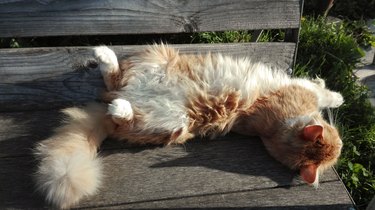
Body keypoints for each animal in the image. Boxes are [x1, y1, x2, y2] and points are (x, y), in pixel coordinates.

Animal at [33, 44, 346, 208]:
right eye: (337, 139)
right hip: (154, 60)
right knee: (113, 80)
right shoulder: (297, 89)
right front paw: (338, 96)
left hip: (173, 125)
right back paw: (105, 57)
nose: (343, 142)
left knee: (119, 106)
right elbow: (321, 91)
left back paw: (119, 104)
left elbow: (319, 91)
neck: (274, 130)